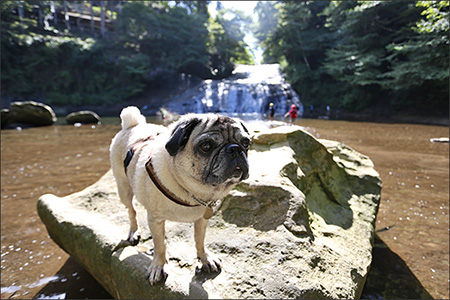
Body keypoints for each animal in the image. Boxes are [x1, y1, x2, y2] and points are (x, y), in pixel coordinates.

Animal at [109, 106, 250, 284]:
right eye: (206, 146)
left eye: (246, 143)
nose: (235, 149)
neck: (192, 190)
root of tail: (132, 125)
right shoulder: (155, 220)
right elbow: (160, 246)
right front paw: (158, 266)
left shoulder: (202, 219)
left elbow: (199, 240)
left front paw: (205, 258)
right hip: (124, 188)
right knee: (131, 210)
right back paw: (134, 232)